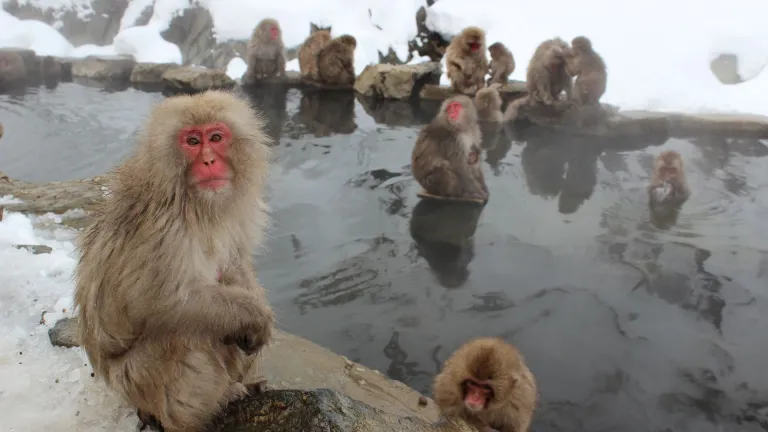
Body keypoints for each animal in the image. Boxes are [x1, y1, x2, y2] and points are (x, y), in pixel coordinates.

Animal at [73, 90, 276, 432]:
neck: (194, 202)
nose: (209, 161)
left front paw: (255, 310)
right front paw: (256, 316)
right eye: (192, 141)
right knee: (182, 337)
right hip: (137, 380)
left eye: (216, 137)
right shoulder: (164, 231)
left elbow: (234, 264)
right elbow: (163, 302)